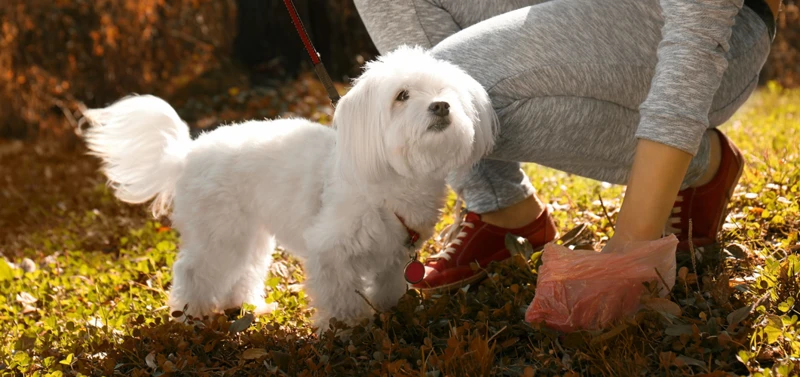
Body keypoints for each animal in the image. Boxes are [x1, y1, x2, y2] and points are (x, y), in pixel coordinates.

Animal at [79, 46, 494, 328]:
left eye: (447, 92)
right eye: (402, 96)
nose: (441, 106)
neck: (391, 179)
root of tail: (187, 153)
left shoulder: (394, 256)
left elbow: (390, 287)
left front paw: (389, 312)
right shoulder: (330, 250)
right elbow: (340, 295)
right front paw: (348, 327)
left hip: (249, 235)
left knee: (243, 271)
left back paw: (248, 307)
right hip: (219, 233)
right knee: (193, 271)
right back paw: (191, 315)